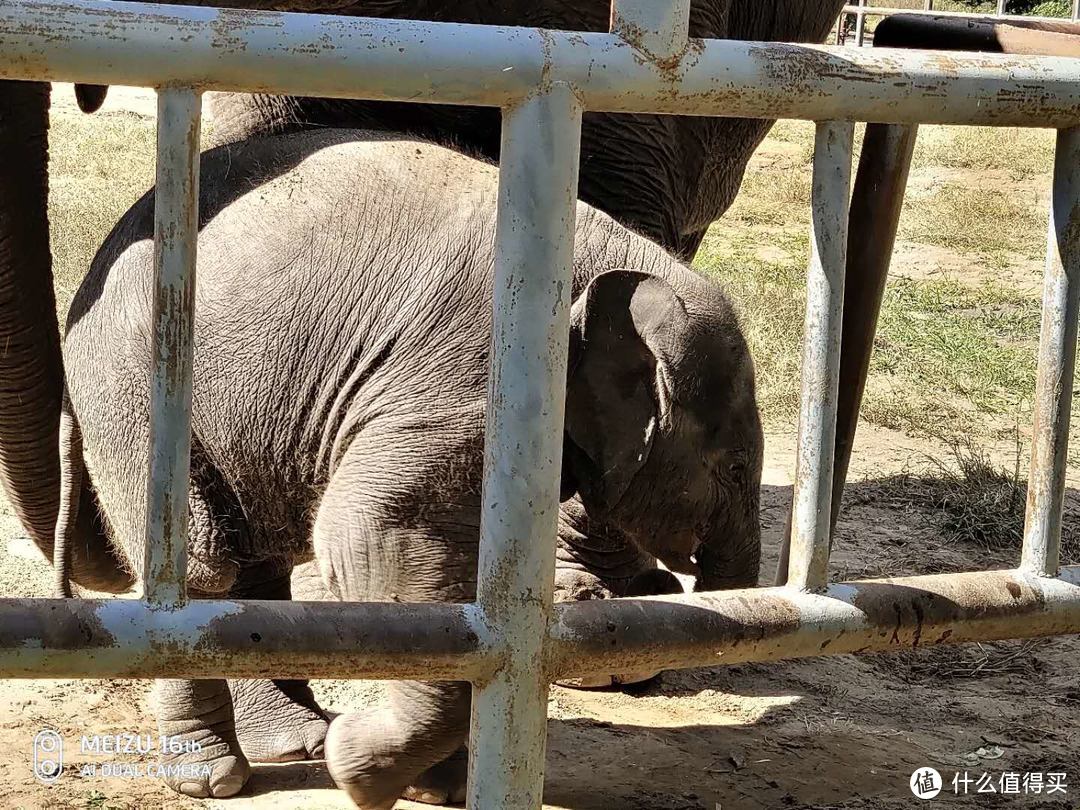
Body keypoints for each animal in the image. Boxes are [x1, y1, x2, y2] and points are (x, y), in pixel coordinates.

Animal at [59, 130, 764, 807]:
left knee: (252, 561)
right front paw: (361, 770)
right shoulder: (467, 379)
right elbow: (372, 531)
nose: (673, 584)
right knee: (205, 563)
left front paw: (432, 785)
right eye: (733, 468)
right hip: (130, 387)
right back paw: (216, 778)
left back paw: (298, 741)